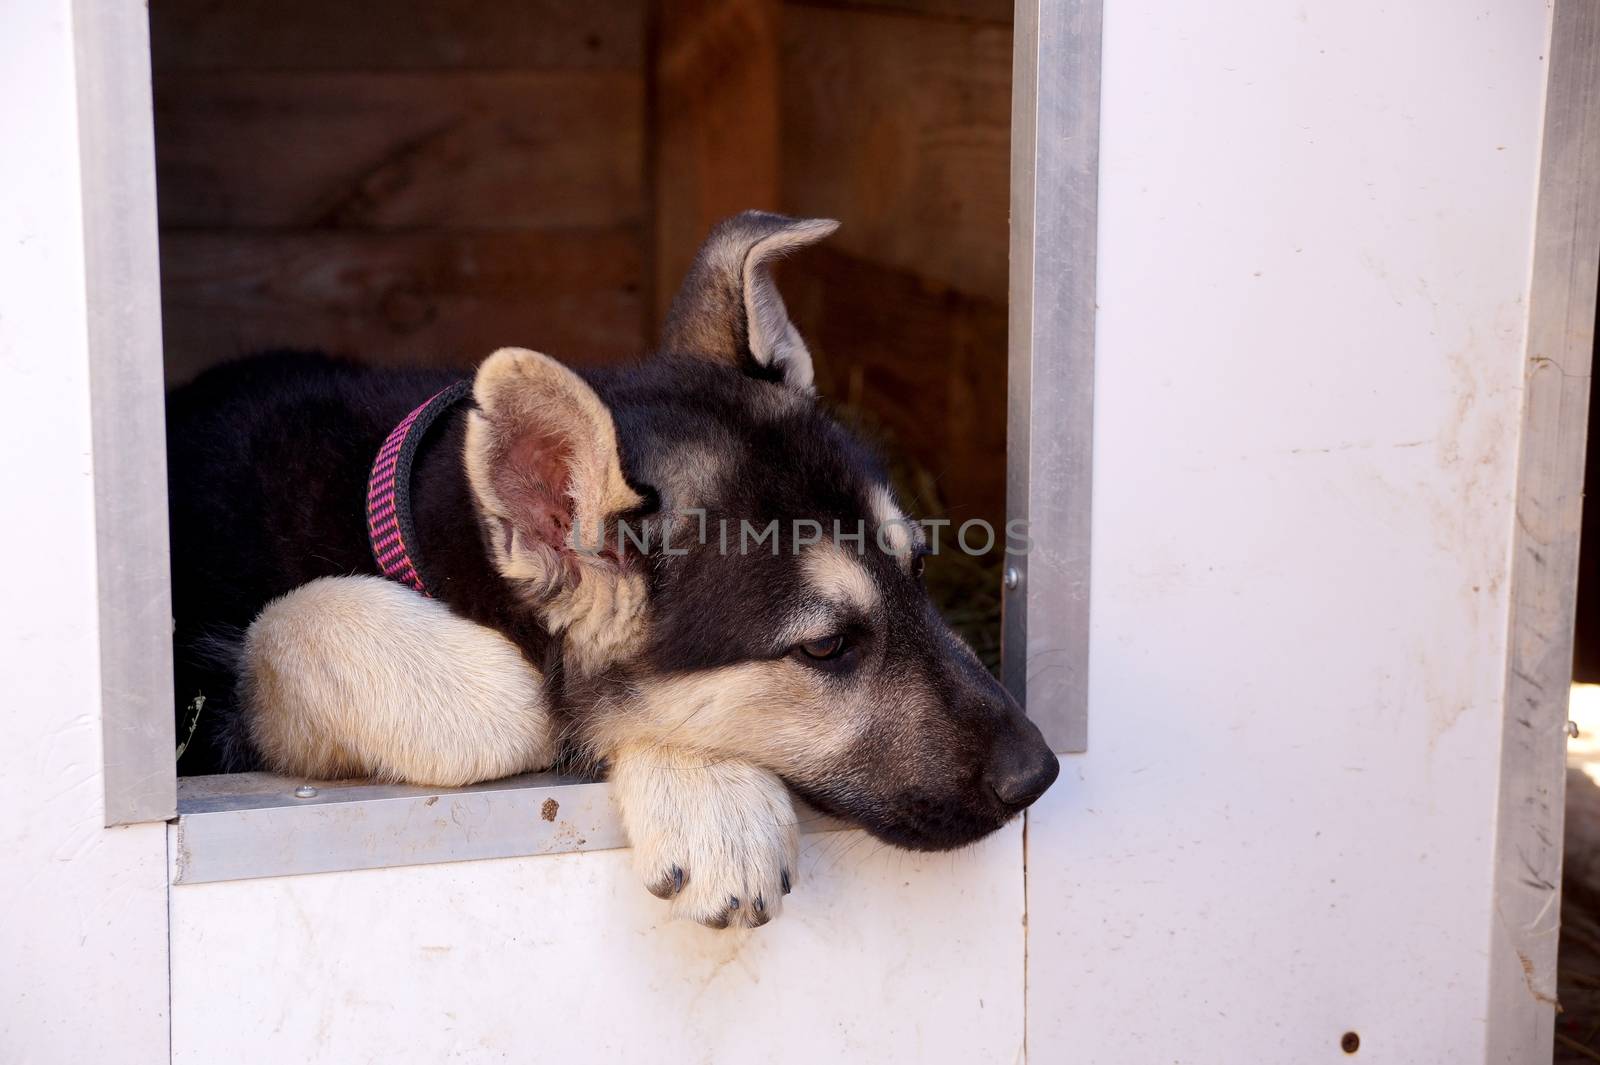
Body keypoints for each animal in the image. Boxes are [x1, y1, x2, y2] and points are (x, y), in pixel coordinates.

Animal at [168, 211, 1056, 927]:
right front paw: (702, 789)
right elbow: (462, 687)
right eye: (825, 647)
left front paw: (707, 793)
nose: (1041, 773)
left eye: (921, 566)